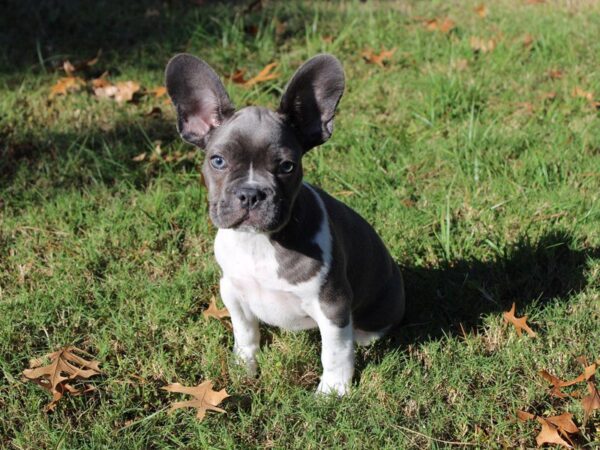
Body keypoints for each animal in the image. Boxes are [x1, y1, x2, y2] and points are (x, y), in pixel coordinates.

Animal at [166, 54, 406, 396]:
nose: (251, 193)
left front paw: (332, 392)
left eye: (287, 166)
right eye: (218, 161)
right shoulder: (232, 292)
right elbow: (245, 333)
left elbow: (335, 351)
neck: (258, 242)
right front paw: (243, 367)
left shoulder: (333, 305)